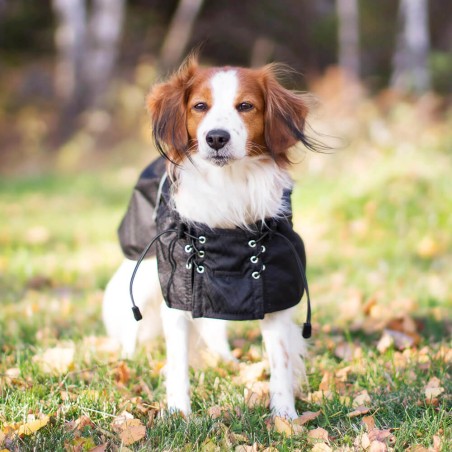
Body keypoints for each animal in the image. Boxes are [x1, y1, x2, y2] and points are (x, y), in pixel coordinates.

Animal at [103, 57, 316, 420]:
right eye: (200, 106)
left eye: (246, 106)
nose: (216, 137)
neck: (228, 188)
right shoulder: (176, 291)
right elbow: (177, 363)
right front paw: (179, 415)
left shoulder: (274, 289)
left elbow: (281, 360)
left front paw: (284, 417)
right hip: (142, 275)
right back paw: (126, 364)